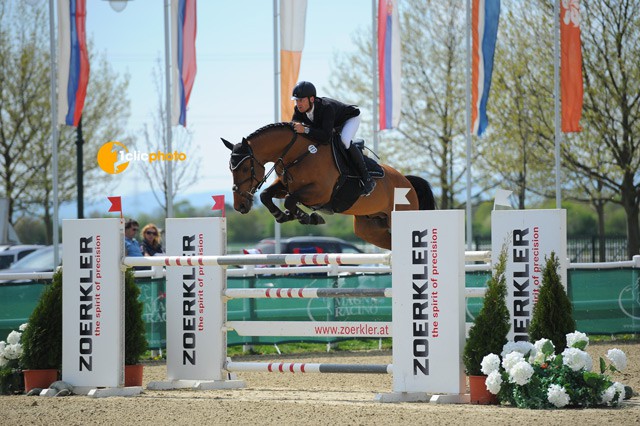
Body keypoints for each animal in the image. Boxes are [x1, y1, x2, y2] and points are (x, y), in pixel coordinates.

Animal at [220, 122, 436, 250]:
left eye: (245, 168)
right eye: (230, 168)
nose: (240, 206)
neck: (299, 153)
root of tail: (407, 181)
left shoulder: (320, 193)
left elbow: (290, 200)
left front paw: (309, 217)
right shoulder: (286, 185)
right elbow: (266, 195)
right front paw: (284, 216)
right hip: (370, 229)